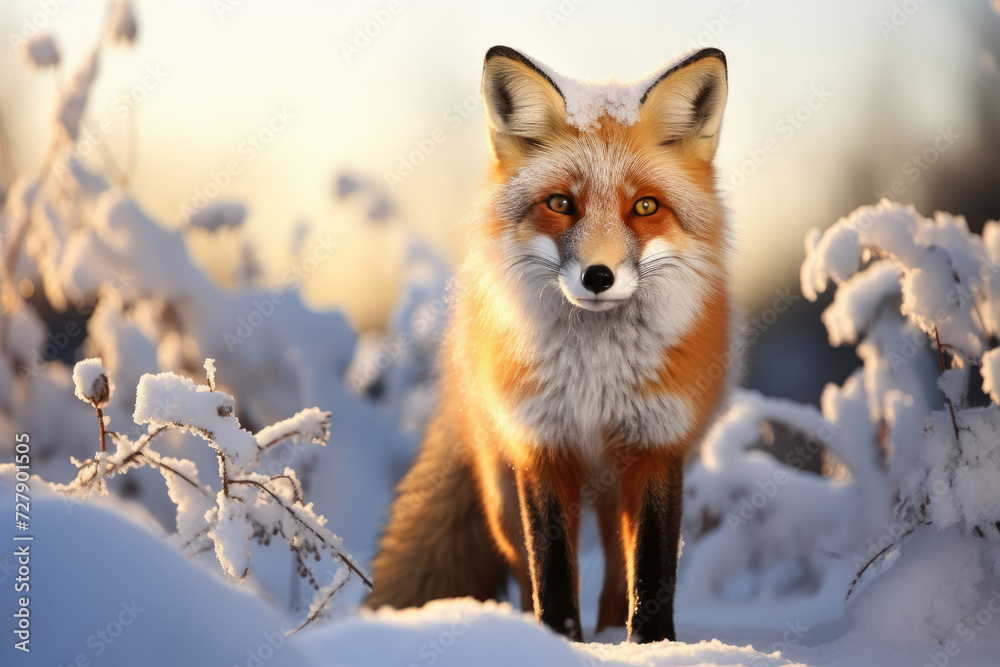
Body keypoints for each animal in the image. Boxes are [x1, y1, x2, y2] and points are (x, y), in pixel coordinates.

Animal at [366, 45, 737, 644]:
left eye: (646, 207)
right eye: (561, 203)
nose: (598, 276)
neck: (596, 377)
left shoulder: (657, 445)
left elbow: (651, 568)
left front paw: (652, 645)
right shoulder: (541, 446)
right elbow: (552, 570)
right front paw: (560, 642)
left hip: (613, 484)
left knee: (615, 567)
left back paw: (610, 632)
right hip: (501, 495)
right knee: (522, 565)